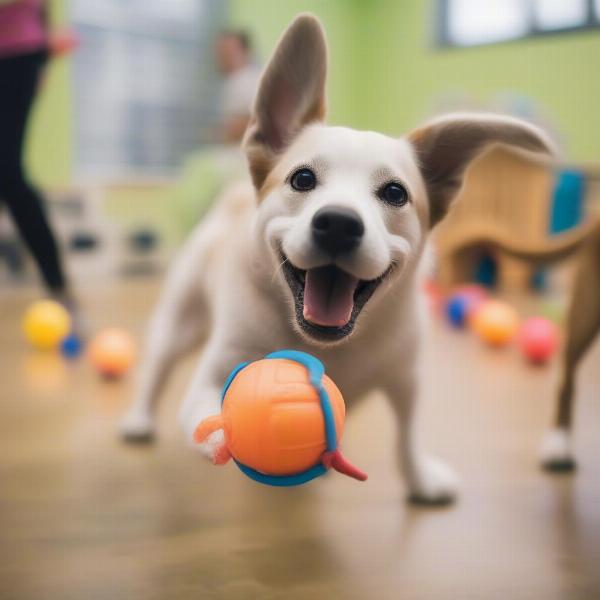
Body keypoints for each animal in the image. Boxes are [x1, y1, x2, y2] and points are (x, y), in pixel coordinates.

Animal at [119, 12, 556, 502]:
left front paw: (419, 478)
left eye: (395, 193)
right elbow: (204, 408)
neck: (327, 343)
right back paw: (139, 418)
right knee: (158, 366)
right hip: (181, 319)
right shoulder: (217, 370)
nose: (339, 224)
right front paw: (219, 434)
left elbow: (407, 435)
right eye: (303, 179)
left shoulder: (406, 378)